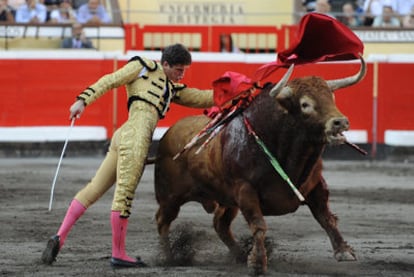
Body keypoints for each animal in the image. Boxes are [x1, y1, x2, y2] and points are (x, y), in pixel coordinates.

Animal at [152, 57, 366, 274]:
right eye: (305, 104)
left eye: (332, 97)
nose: (340, 122)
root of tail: (168, 134)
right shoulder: (245, 190)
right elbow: (258, 225)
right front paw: (257, 263)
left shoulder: (316, 185)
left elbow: (326, 217)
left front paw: (343, 251)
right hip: (170, 196)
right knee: (163, 221)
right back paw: (168, 257)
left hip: (225, 199)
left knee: (220, 224)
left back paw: (239, 254)